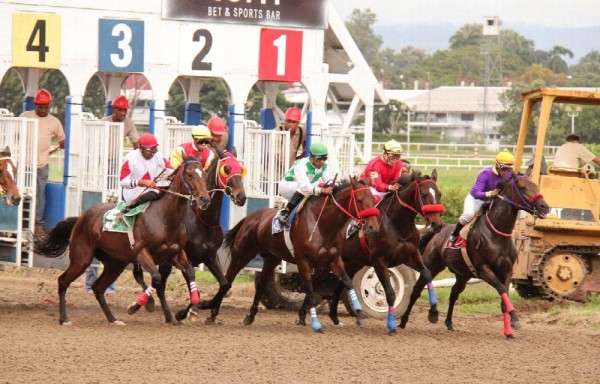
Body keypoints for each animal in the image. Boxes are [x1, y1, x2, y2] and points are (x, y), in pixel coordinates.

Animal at [33, 158, 211, 326]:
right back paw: (64, 319)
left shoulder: (175, 254)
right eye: (190, 174)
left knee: (98, 288)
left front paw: (193, 309)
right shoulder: (142, 253)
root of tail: (81, 218)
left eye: (204, 174)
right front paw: (136, 306)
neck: (165, 217)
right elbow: (156, 278)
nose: (205, 199)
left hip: (115, 263)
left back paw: (113, 319)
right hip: (81, 259)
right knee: (63, 281)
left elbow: (189, 272)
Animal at [132, 148, 248, 322]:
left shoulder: (210, 256)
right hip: (164, 260)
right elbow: (195, 288)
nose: (241, 197)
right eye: (226, 169)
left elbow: (225, 284)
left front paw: (209, 308)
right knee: (153, 280)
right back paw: (154, 305)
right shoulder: (186, 257)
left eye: (241, 169)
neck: (203, 220)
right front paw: (186, 312)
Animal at [206, 178, 378, 332]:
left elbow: (347, 282)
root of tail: (250, 217)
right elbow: (309, 290)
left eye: (374, 199)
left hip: (272, 258)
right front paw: (315, 323)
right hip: (242, 254)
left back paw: (250, 316)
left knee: (261, 285)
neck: (322, 225)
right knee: (228, 280)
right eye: (360, 200)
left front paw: (360, 315)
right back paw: (212, 313)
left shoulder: (332, 261)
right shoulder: (303, 262)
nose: (373, 227)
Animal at [324, 170, 446, 334]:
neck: (397, 224)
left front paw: (433, 313)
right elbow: (389, 293)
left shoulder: (410, 255)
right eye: (424, 194)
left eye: (439, 194)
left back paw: (335, 317)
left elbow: (426, 274)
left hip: (352, 262)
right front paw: (391, 325)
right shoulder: (379, 261)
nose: (437, 224)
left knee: (340, 285)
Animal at [398, 172, 548, 338]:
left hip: (463, 275)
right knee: (416, 291)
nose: (544, 207)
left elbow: (504, 297)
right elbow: (501, 289)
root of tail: (438, 231)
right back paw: (404, 321)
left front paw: (509, 330)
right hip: (431, 266)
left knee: (454, 294)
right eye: (522, 187)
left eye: (535, 186)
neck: (497, 235)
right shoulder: (484, 270)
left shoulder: (507, 271)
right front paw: (515, 318)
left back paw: (449, 323)